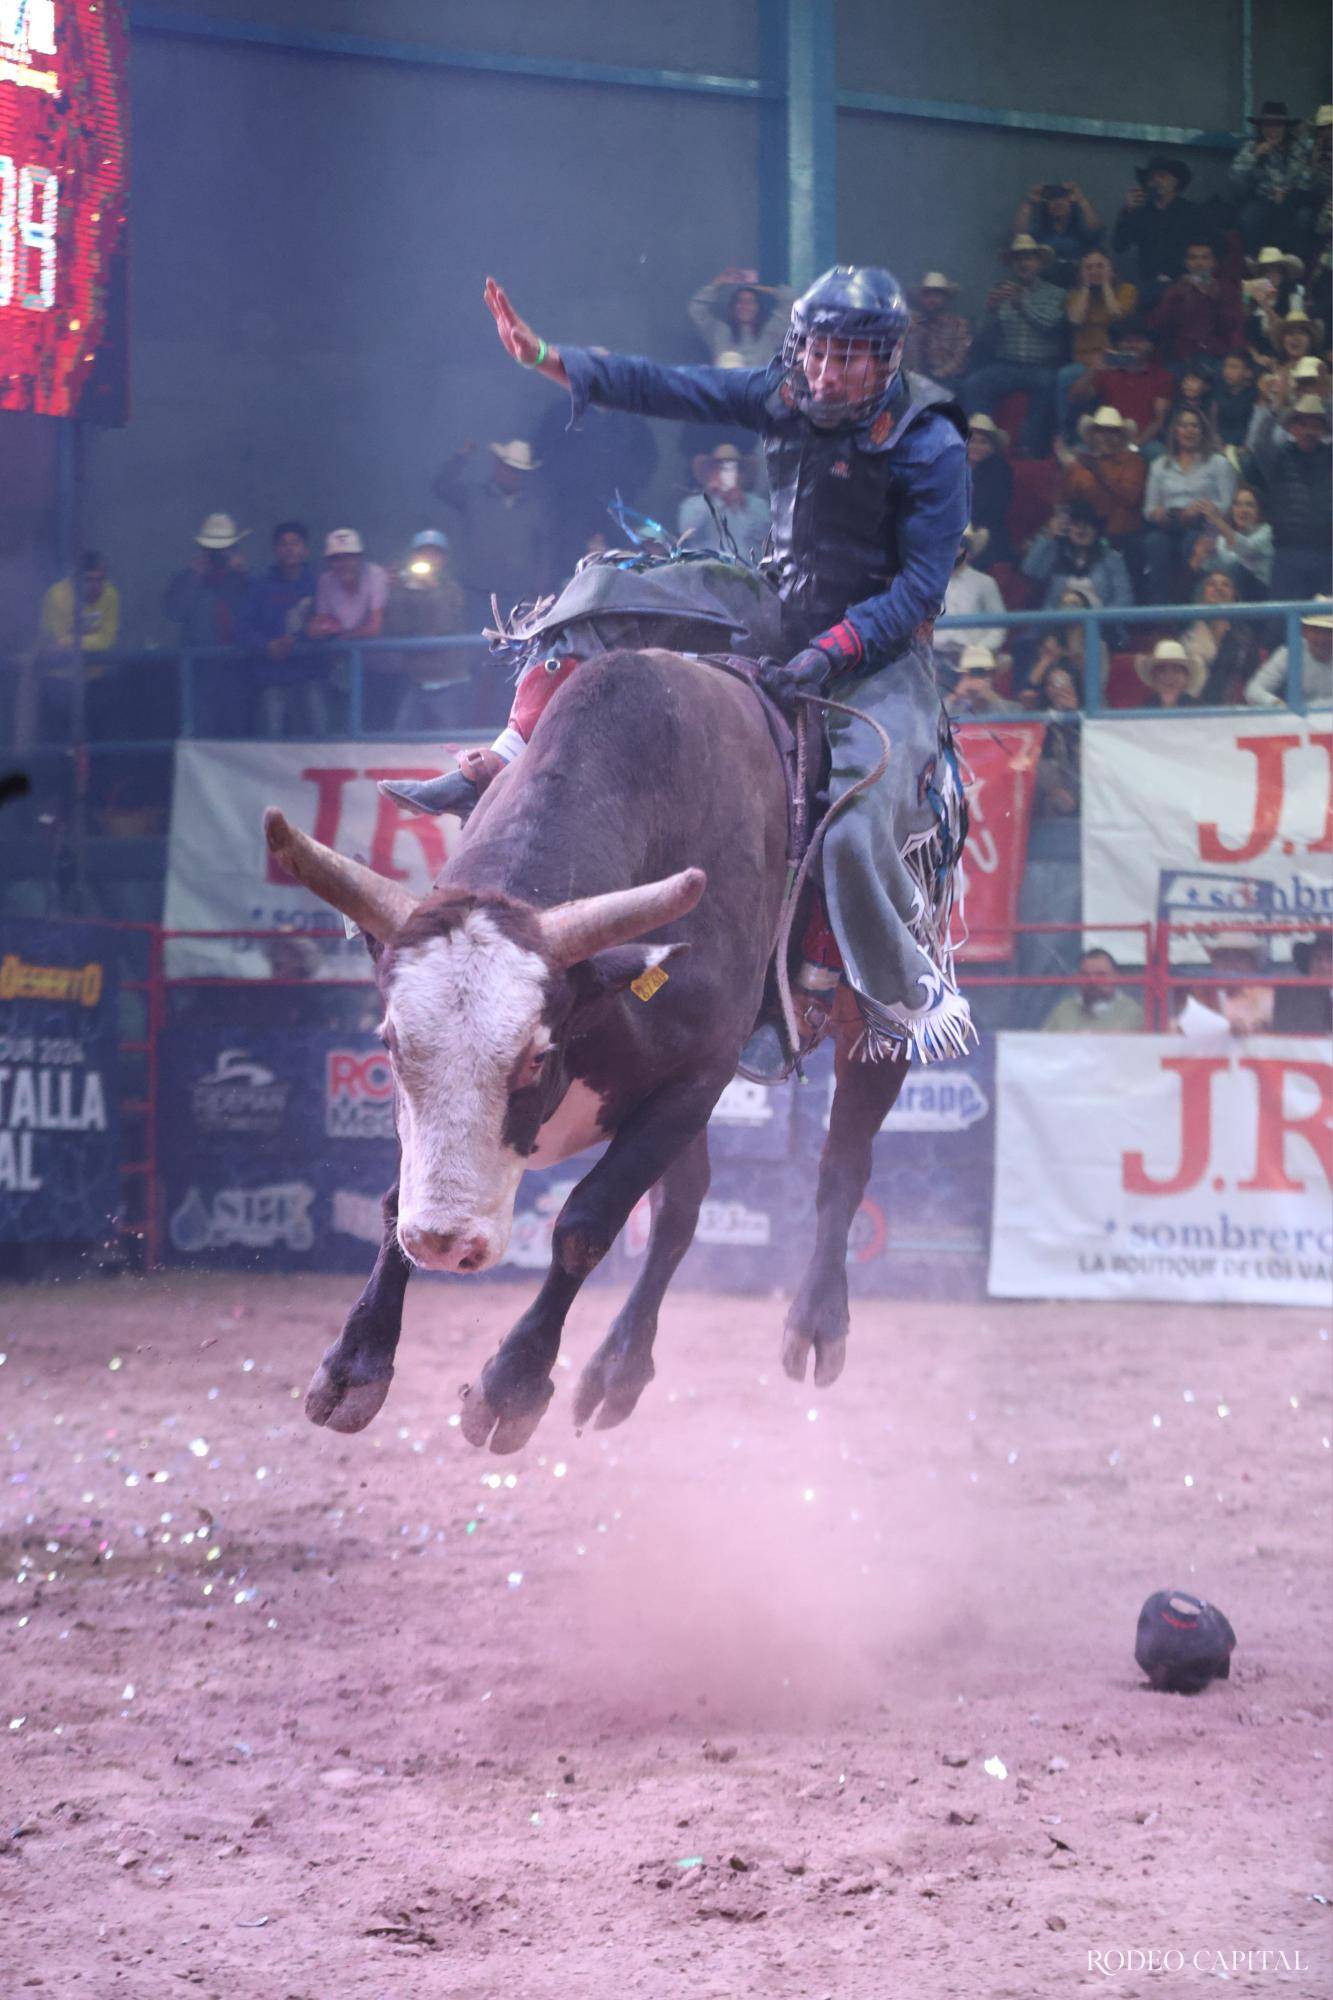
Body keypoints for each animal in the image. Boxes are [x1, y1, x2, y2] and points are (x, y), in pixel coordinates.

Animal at [264, 652, 908, 1456]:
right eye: (390, 1044)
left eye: (536, 1058)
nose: (442, 1243)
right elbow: (391, 1202)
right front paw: (356, 1363)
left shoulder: (699, 1074)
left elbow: (585, 1225)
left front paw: (511, 1384)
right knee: (681, 1209)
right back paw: (618, 1370)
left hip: (878, 1015)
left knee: (842, 1162)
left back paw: (817, 1323)